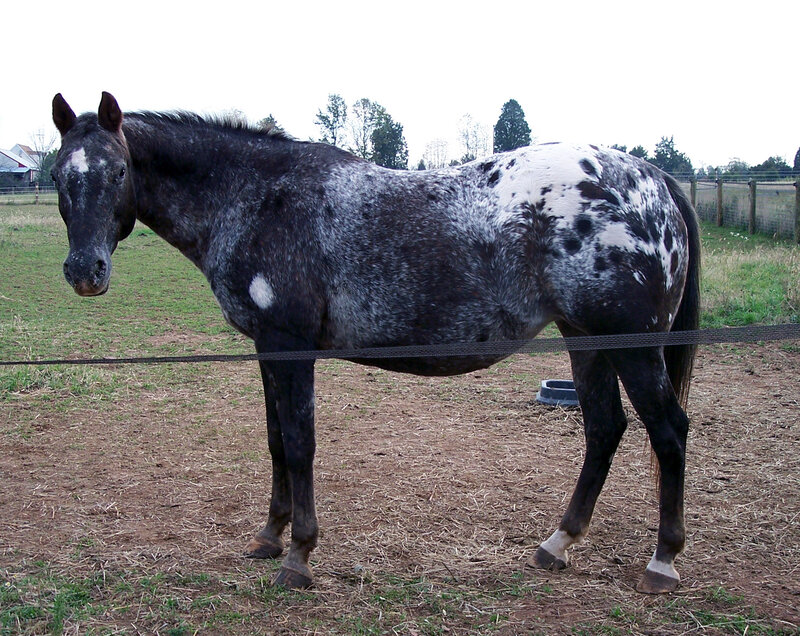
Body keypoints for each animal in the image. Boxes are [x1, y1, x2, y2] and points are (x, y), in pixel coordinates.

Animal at [50, 92, 700, 594]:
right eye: (59, 176)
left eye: (117, 172)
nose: (85, 272)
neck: (257, 196)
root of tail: (654, 180)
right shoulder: (267, 347)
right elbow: (276, 441)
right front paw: (269, 537)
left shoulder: (290, 346)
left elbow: (300, 445)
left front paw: (298, 557)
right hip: (587, 340)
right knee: (604, 429)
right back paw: (557, 543)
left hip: (632, 346)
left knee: (668, 431)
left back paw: (663, 562)